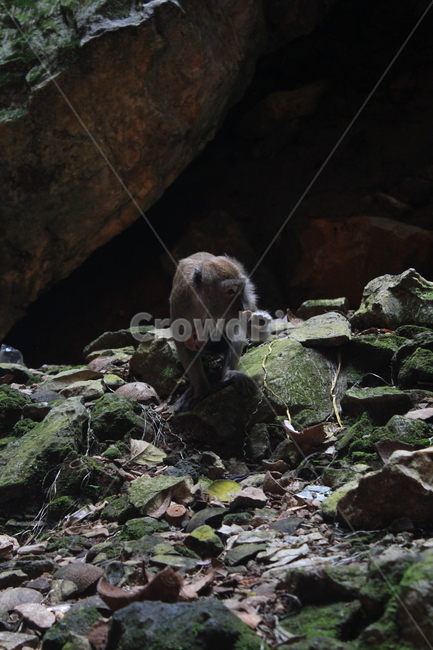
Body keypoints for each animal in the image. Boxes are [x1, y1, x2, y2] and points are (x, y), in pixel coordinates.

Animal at [169, 252, 270, 413]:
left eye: (241, 289)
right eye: (230, 291)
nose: (242, 306)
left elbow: (237, 326)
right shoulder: (181, 303)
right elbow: (182, 342)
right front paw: (201, 389)